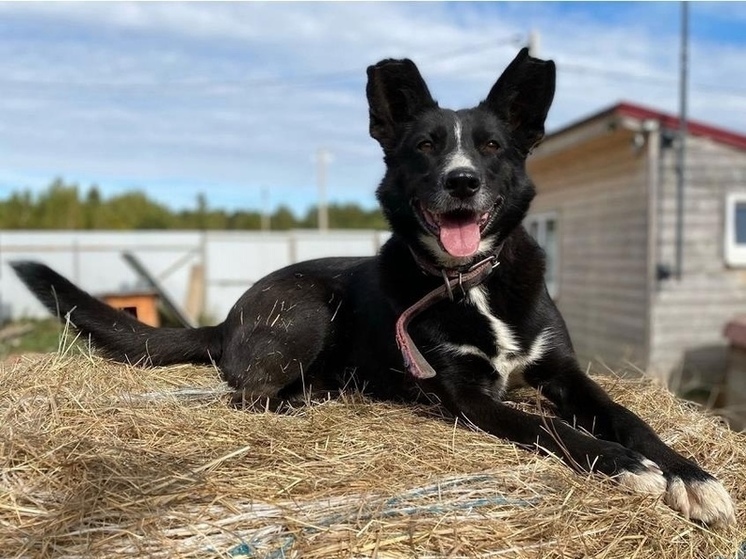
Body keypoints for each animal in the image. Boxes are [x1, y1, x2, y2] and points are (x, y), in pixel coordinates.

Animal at [11, 50, 732, 528]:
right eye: (426, 146)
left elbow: (630, 416)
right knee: (247, 394)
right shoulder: (467, 394)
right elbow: (548, 427)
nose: (463, 182)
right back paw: (314, 395)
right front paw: (624, 466)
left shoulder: (564, 371)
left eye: (492, 146)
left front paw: (691, 476)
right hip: (308, 310)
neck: (470, 283)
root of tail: (230, 314)